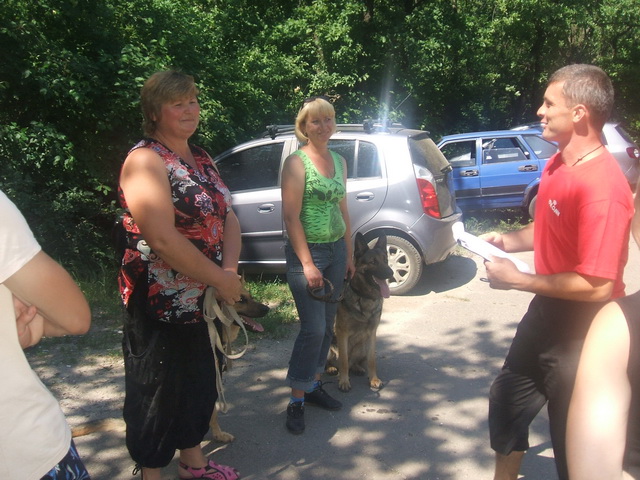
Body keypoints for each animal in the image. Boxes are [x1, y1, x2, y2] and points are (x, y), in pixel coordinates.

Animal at [326, 233, 394, 392]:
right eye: (373, 262)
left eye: (386, 260)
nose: (391, 273)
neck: (364, 297)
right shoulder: (342, 333)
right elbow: (343, 360)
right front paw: (344, 381)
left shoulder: (372, 333)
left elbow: (372, 360)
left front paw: (374, 379)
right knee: (336, 362)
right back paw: (331, 368)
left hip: (363, 346)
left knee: (354, 362)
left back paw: (357, 367)